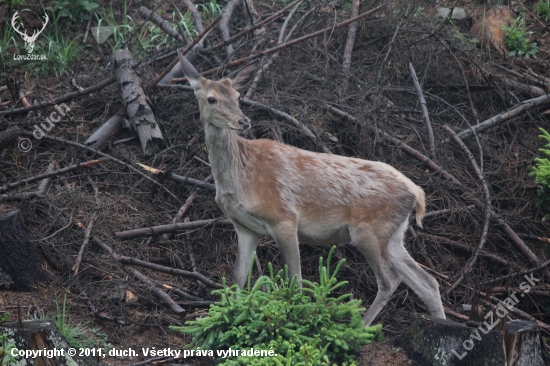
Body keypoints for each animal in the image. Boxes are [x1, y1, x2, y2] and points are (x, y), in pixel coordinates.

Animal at [180, 52, 448, 326]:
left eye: (237, 96)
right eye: (212, 99)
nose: (243, 121)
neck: (241, 179)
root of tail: (416, 192)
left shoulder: (284, 217)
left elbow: (295, 279)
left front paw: (295, 319)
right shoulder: (245, 227)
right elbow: (238, 278)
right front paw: (229, 317)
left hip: (369, 230)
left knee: (390, 279)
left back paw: (360, 327)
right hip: (393, 235)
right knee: (428, 282)